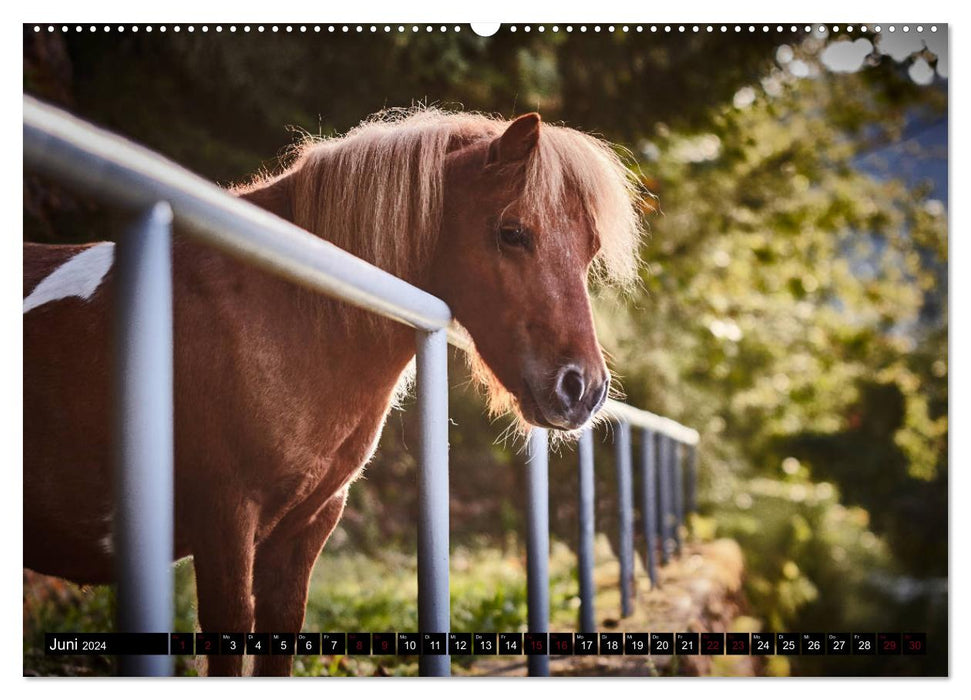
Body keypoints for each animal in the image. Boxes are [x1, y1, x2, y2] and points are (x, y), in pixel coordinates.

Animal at [22, 108, 644, 672]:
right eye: (512, 233)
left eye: (589, 249)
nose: (582, 388)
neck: (281, 313)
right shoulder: (223, 517)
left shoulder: (308, 523)